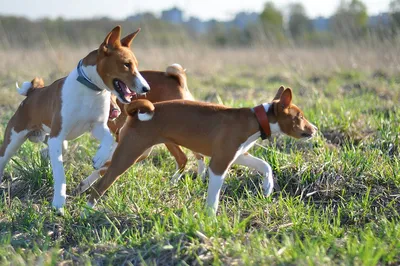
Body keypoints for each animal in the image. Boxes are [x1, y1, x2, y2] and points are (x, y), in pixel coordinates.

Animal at [0, 25, 150, 214]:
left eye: (136, 65)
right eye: (126, 64)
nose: (146, 88)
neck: (91, 90)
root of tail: (33, 92)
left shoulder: (97, 126)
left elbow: (108, 139)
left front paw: (99, 158)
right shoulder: (57, 136)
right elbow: (59, 173)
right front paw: (59, 203)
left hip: (51, 138)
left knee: (51, 149)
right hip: (15, 140)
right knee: (4, 159)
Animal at [86, 87, 318, 214]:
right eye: (300, 116)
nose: (314, 129)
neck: (255, 120)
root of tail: (135, 113)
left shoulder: (237, 156)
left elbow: (265, 165)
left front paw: (268, 187)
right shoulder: (219, 164)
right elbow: (213, 197)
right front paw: (210, 220)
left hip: (136, 152)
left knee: (104, 169)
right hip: (129, 155)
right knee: (100, 186)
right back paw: (86, 212)